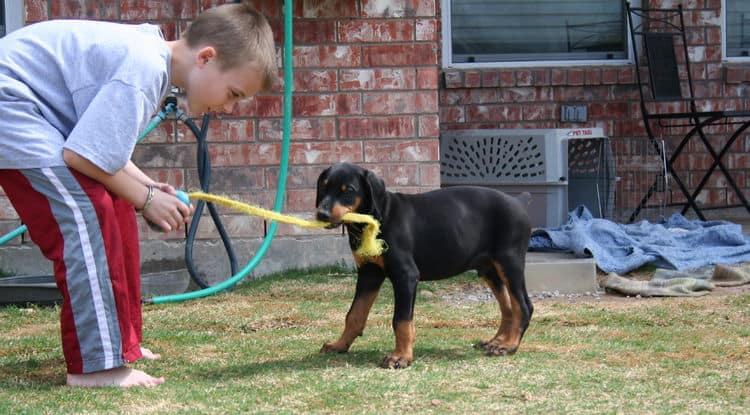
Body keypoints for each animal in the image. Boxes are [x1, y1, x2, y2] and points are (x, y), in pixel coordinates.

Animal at [318, 163, 536, 370]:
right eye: (323, 186)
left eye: (348, 190)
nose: (321, 213)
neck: (375, 220)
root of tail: (519, 201)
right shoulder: (369, 274)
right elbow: (354, 314)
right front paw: (340, 345)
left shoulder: (406, 275)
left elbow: (401, 320)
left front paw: (401, 357)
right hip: (490, 269)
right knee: (508, 307)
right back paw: (497, 341)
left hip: (510, 262)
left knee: (523, 306)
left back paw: (509, 345)